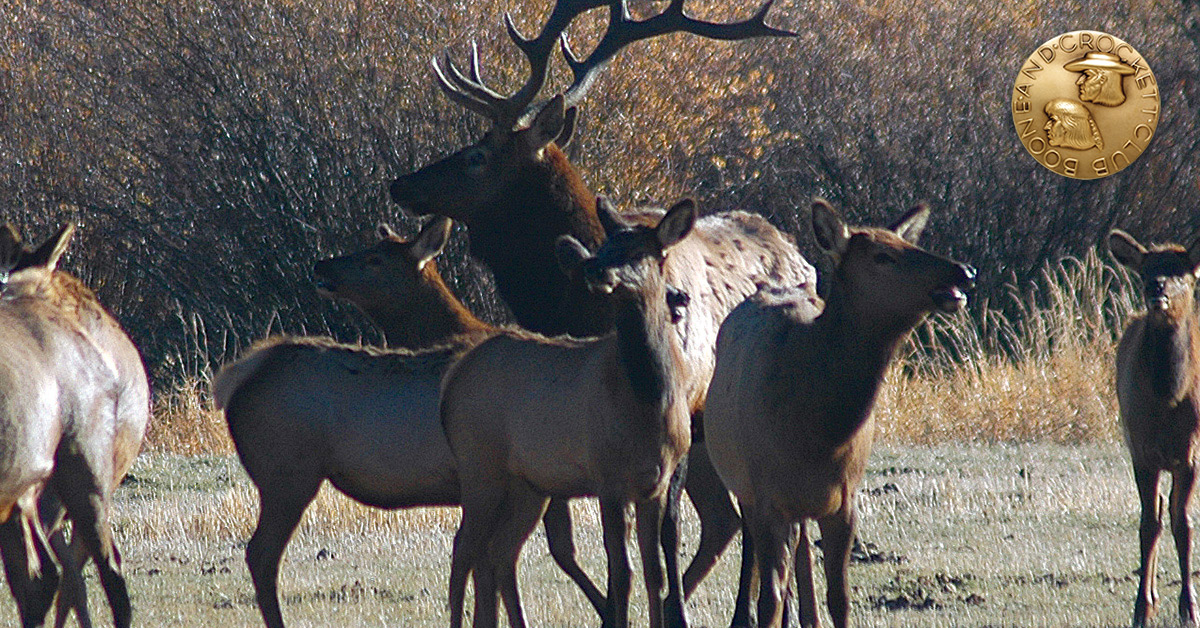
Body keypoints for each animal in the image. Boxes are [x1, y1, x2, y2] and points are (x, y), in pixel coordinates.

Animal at [440, 197, 710, 628]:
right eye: (606, 246)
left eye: (639, 251)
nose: (596, 270)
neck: (647, 404)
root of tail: (450, 385)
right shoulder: (607, 476)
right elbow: (623, 573)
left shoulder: (656, 482)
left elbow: (655, 572)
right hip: (479, 464)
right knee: (463, 549)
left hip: (528, 484)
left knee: (500, 551)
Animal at [703, 200, 976, 628]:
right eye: (882, 256)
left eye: (908, 242)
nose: (963, 271)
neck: (817, 433)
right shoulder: (764, 497)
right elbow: (770, 599)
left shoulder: (844, 501)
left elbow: (841, 597)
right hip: (743, 484)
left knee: (800, 551)